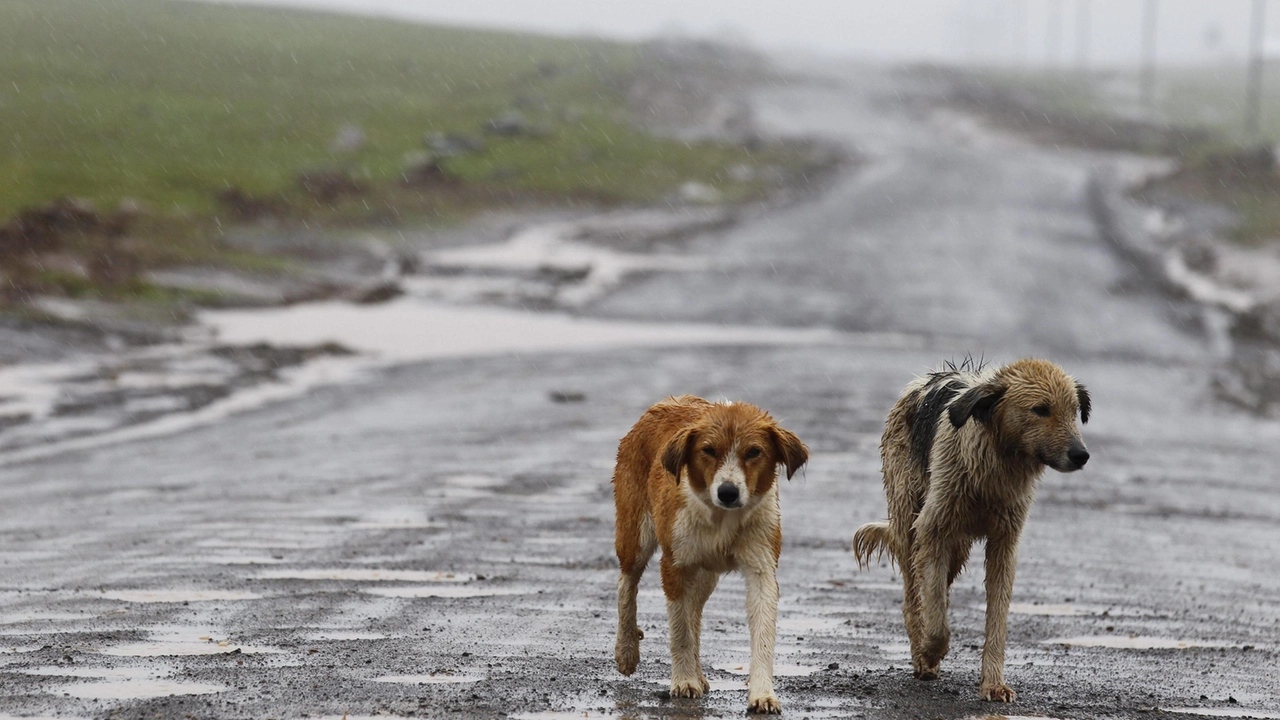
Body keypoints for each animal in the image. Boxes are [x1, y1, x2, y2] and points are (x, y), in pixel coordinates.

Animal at [611, 394, 808, 707]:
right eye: (708, 450)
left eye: (754, 451)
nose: (728, 492)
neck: (721, 519)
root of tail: (663, 404)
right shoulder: (675, 565)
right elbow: (680, 632)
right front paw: (683, 681)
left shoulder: (762, 567)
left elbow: (762, 634)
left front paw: (763, 694)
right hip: (636, 535)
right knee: (626, 583)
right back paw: (627, 649)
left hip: (705, 574)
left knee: (694, 611)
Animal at [849, 358, 1090, 702]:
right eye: (1040, 409)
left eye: (1073, 411)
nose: (1081, 455)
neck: (995, 467)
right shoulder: (931, 529)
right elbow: (936, 620)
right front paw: (929, 651)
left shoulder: (1004, 543)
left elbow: (996, 620)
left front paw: (993, 683)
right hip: (910, 523)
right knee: (913, 597)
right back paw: (920, 654)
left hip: (957, 546)